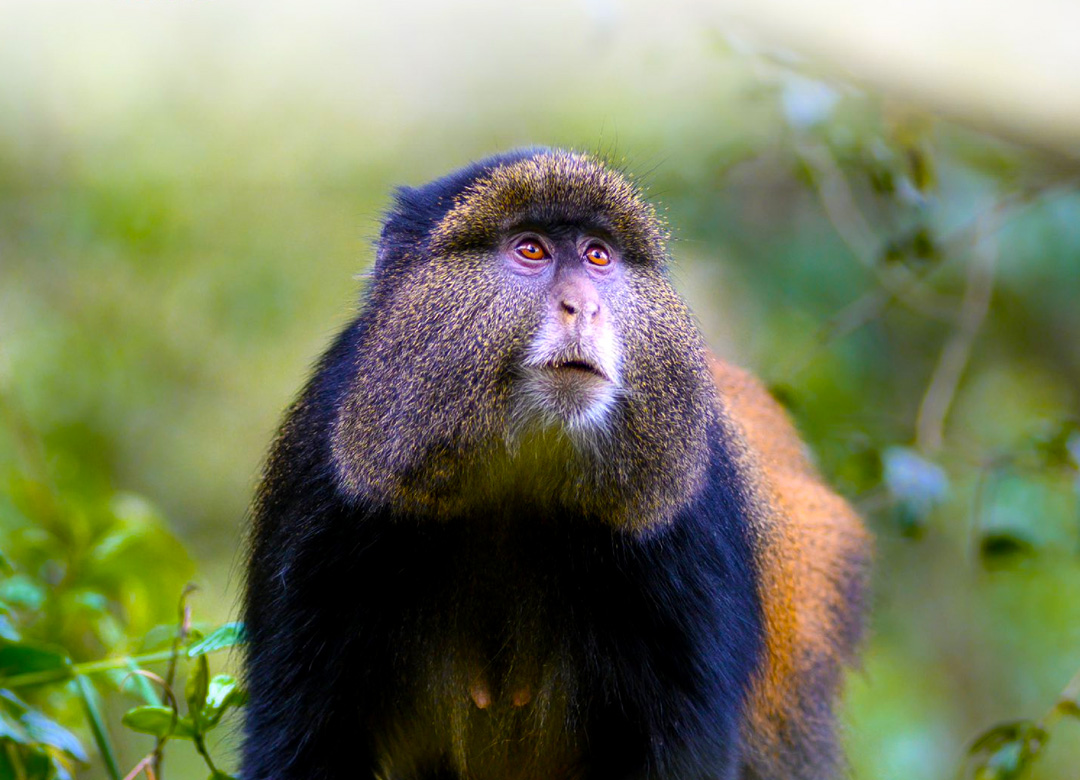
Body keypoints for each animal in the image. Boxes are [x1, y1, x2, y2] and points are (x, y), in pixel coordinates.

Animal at [240, 148, 870, 780]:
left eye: (598, 256)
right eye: (531, 249)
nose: (583, 306)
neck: (515, 479)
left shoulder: (694, 515)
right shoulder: (320, 481)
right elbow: (297, 740)